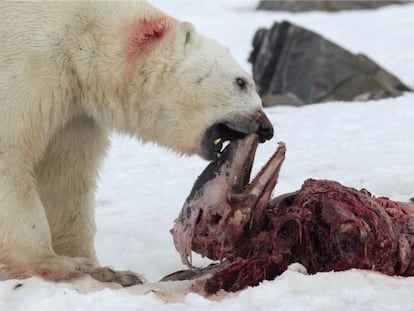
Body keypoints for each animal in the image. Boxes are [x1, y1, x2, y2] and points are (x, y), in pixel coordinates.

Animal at [0, 1, 274, 286]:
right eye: (241, 81)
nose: (267, 128)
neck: (85, 33)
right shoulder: (29, 63)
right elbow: (9, 155)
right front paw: (55, 263)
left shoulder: (76, 113)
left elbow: (64, 176)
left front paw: (107, 271)